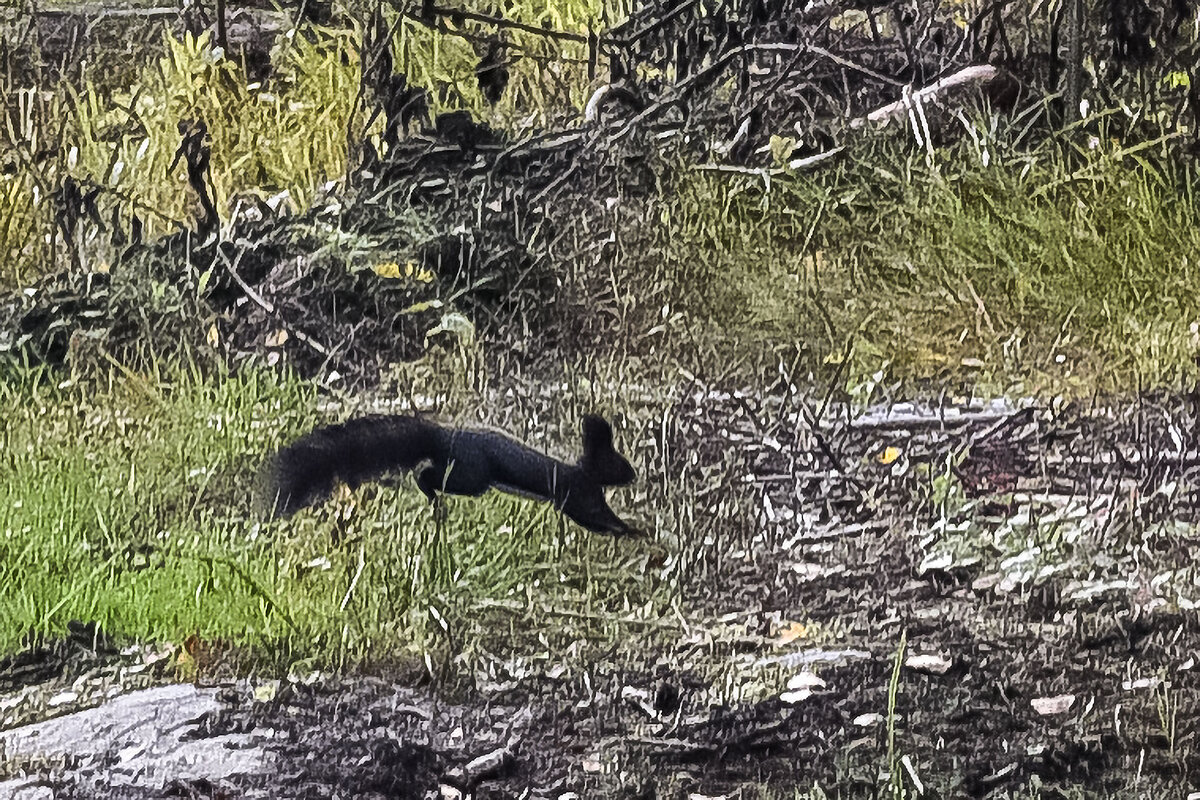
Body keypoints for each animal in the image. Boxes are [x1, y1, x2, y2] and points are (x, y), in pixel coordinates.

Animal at [259, 417, 643, 534]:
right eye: (620, 463)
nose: (635, 475)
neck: (583, 471)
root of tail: (442, 435)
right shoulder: (578, 495)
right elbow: (594, 518)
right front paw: (632, 530)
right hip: (473, 476)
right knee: (429, 475)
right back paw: (431, 497)